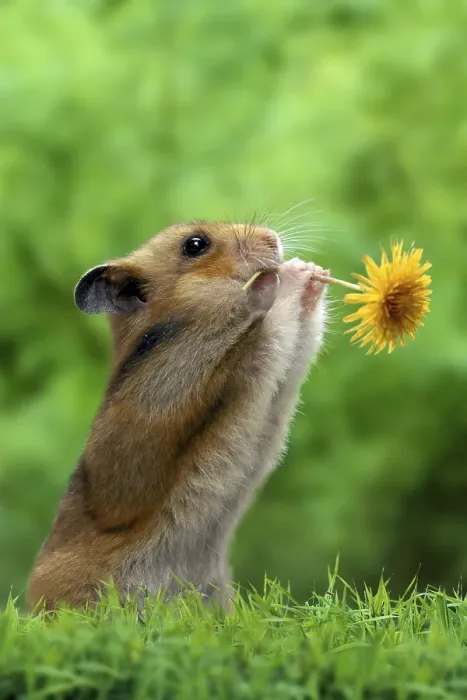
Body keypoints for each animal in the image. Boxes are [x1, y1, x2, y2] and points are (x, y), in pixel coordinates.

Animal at [27, 221, 328, 612]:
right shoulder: (166, 381)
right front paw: (277, 280)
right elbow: (242, 317)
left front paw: (309, 269)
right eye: (195, 245)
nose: (272, 238)